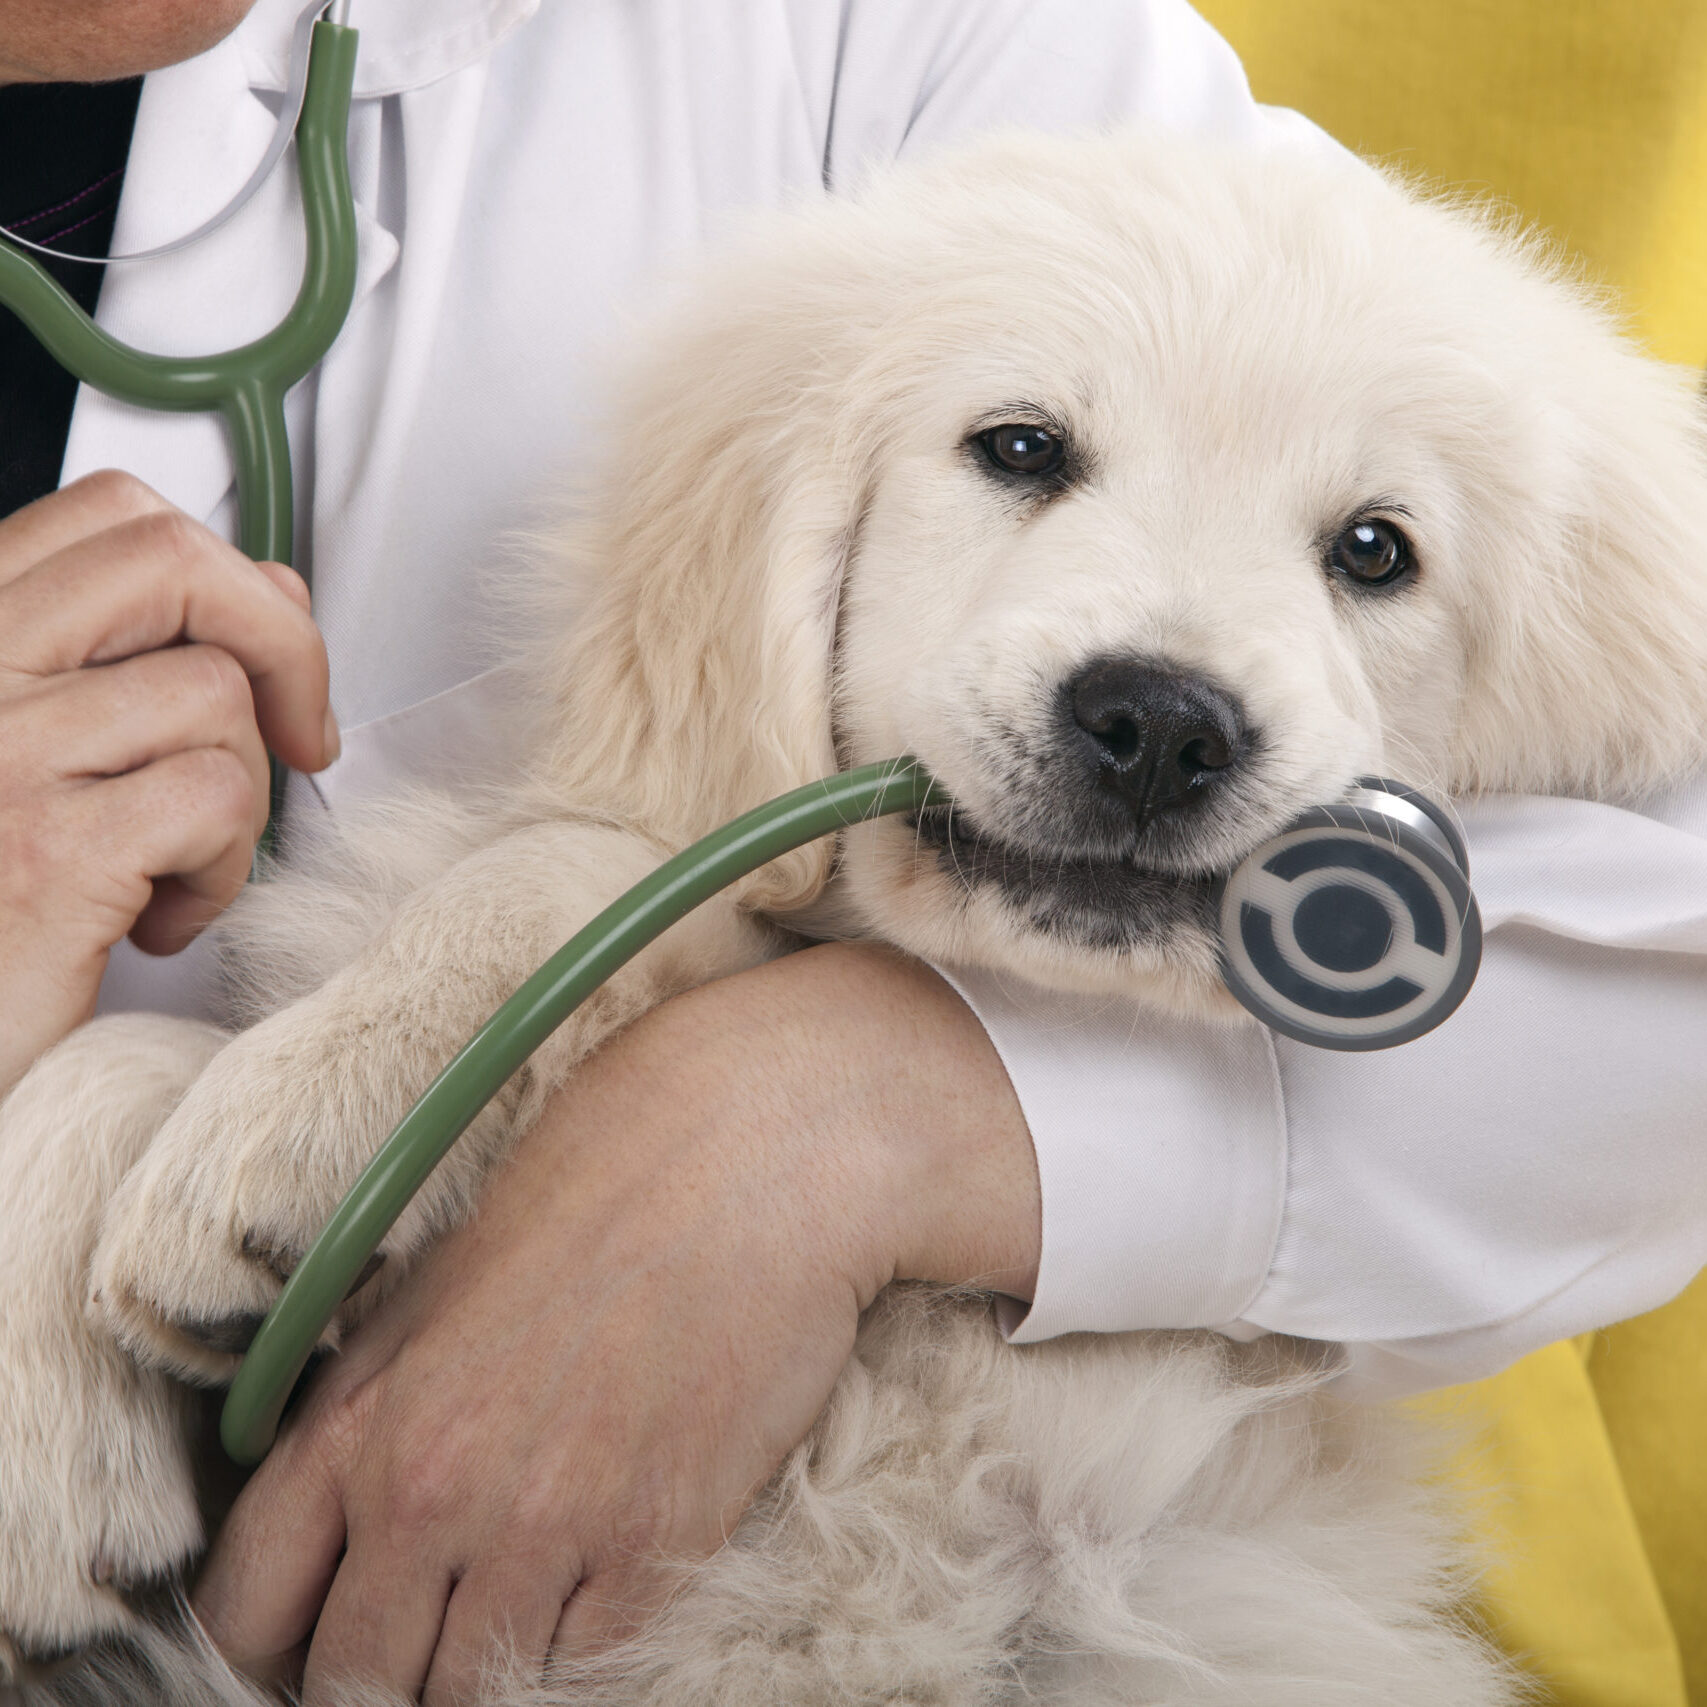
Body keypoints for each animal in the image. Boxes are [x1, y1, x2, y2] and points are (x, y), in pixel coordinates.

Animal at [3, 0, 1707, 1700]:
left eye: (1373, 550)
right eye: (1017, 447)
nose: (1160, 723)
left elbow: (573, 870)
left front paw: (285, 1121)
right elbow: (146, 1038)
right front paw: (65, 1405)